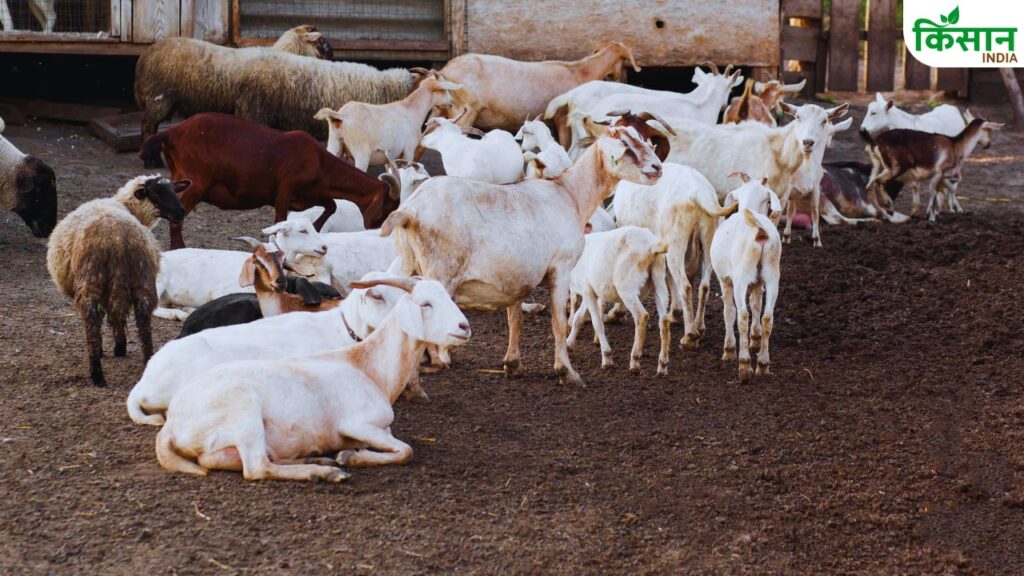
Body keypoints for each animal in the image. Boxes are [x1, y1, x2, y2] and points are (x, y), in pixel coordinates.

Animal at [47, 176, 188, 386]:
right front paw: (118, 348)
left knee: (92, 322)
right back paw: (147, 361)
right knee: (143, 322)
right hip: (141, 278)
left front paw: (112, 349)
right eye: (157, 192)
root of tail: (117, 239)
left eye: (173, 190)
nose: (181, 212)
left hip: (92, 278)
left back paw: (97, 372)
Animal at [139, 113, 400, 249]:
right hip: (195, 183)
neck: (319, 161)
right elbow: (280, 219)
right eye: (389, 206)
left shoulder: (310, 194)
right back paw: (179, 249)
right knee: (176, 218)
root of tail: (172, 132)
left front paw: (315, 229)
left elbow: (331, 205)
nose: (381, 233)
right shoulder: (284, 190)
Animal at [154, 278, 470, 481]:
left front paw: (348, 454)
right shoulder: (358, 423)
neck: (368, 367)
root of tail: (172, 424)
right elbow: (406, 451)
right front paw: (349, 457)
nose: (464, 326)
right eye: (426, 303)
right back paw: (325, 471)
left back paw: (316, 458)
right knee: (257, 467)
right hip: (244, 413)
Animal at [382, 126, 661, 386]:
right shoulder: (561, 268)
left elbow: (515, 319)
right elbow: (559, 322)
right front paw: (566, 372)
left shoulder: (515, 276)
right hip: (440, 272)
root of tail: (410, 211)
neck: (569, 195)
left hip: (405, 262)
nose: (657, 167)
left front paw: (513, 364)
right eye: (625, 145)